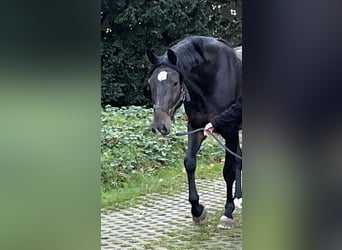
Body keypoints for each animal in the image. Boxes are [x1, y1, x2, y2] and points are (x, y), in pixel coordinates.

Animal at [146, 35, 240, 229]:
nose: (160, 127)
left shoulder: (231, 131)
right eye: (150, 84)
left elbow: (228, 171)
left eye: (175, 82)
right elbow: (189, 163)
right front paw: (197, 210)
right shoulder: (196, 128)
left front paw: (228, 212)